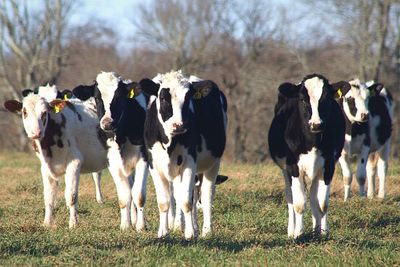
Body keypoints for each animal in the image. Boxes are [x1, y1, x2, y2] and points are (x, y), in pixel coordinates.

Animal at [3, 93, 109, 229]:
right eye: (24, 112)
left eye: (44, 113)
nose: (36, 132)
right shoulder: (45, 168)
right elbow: (49, 197)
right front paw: (47, 223)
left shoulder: (74, 162)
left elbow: (71, 195)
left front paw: (73, 223)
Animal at [71, 71, 148, 232]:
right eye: (97, 98)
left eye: (118, 97)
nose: (107, 123)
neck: (123, 134)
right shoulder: (113, 162)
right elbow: (124, 195)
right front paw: (125, 225)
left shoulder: (143, 158)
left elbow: (139, 194)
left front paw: (141, 226)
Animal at [138, 70, 227, 240]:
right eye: (163, 98)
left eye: (187, 99)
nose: (178, 125)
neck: (169, 141)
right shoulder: (154, 164)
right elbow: (164, 202)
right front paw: (163, 232)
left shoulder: (189, 162)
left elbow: (186, 201)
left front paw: (190, 234)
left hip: (214, 163)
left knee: (206, 195)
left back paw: (206, 230)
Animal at [268, 74, 350, 240]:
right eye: (302, 99)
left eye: (326, 98)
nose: (316, 124)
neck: (313, 141)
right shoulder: (293, 166)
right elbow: (299, 203)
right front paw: (298, 233)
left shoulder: (328, 165)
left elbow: (322, 203)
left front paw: (323, 232)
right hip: (286, 170)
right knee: (290, 196)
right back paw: (291, 230)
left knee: (313, 197)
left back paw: (316, 229)